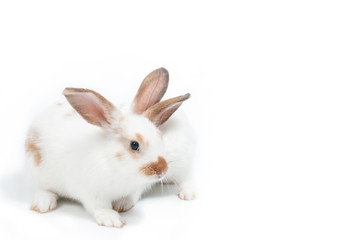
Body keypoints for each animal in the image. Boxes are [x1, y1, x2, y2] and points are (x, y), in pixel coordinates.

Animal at [25, 67, 195, 227]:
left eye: (160, 136)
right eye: (134, 145)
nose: (162, 171)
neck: (116, 166)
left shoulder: (136, 187)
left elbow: (132, 195)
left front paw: (122, 205)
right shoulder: (90, 192)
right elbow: (99, 207)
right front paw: (112, 219)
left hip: (182, 163)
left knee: (185, 179)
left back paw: (188, 194)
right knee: (45, 189)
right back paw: (42, 204)